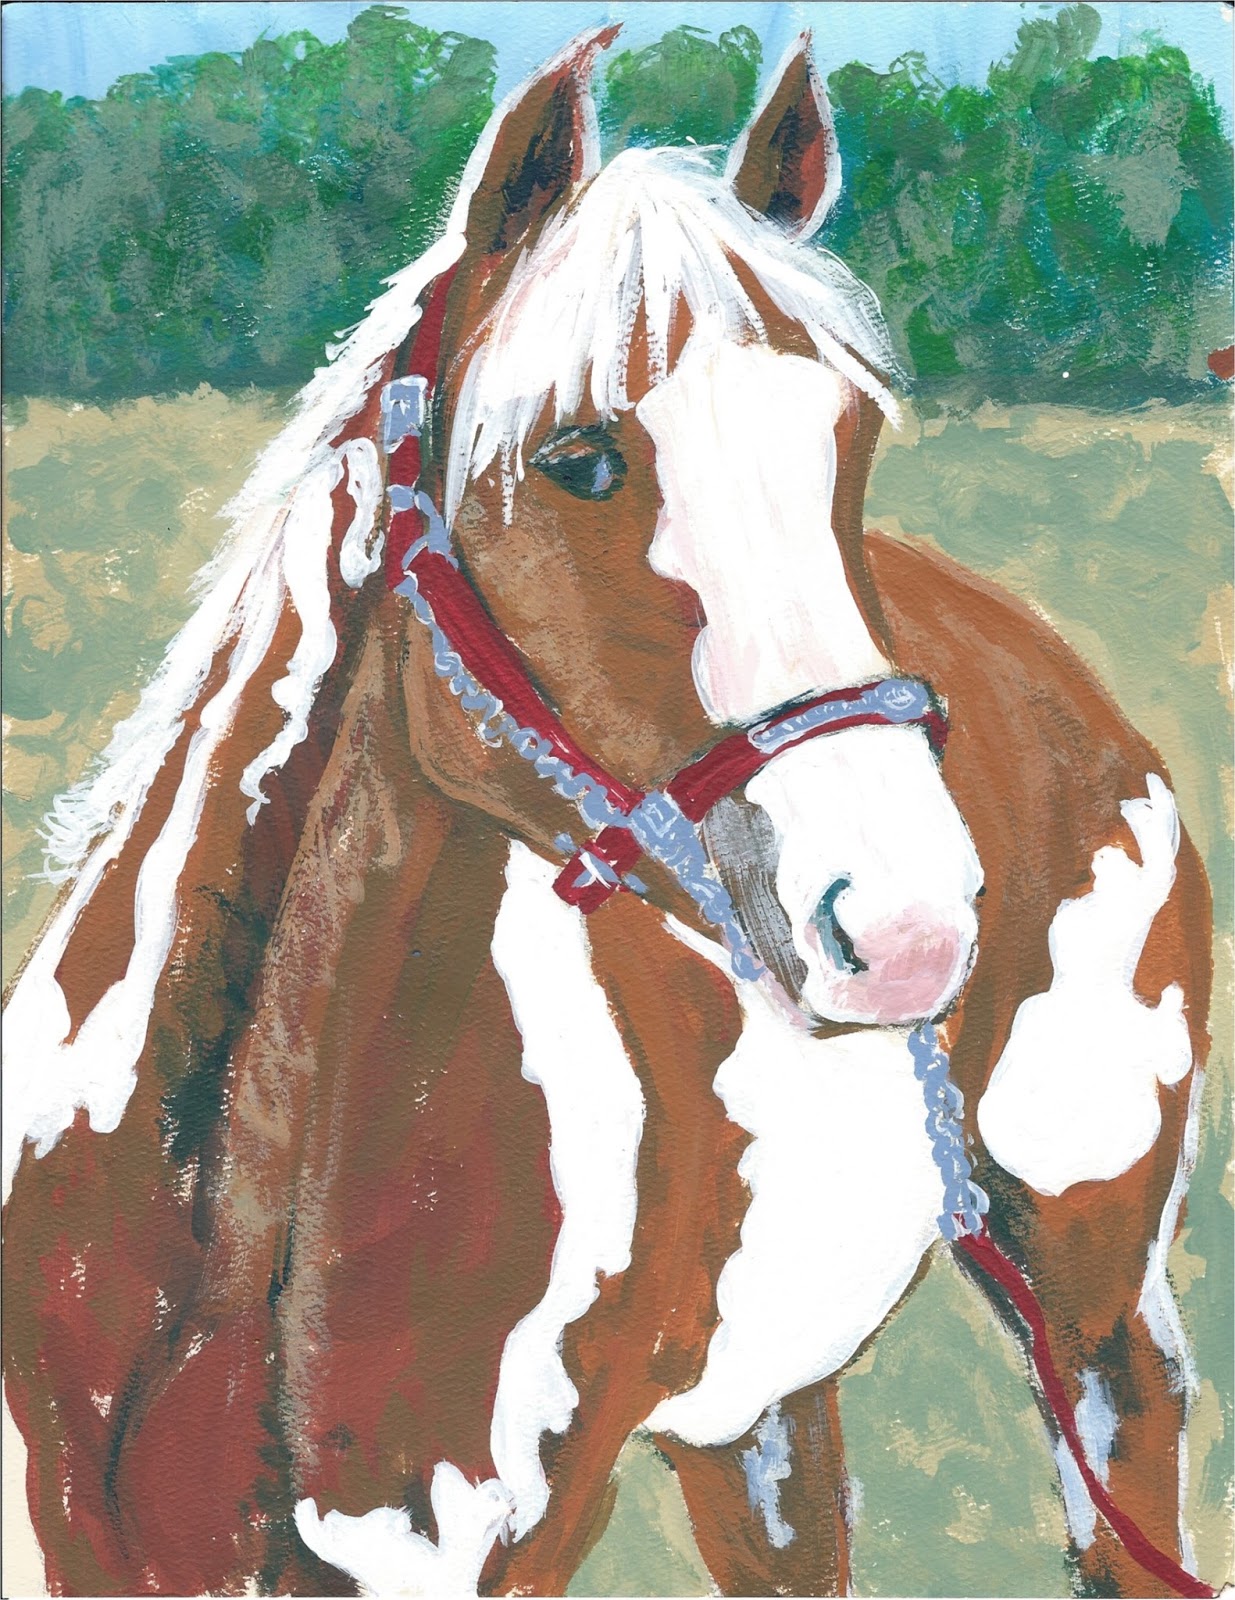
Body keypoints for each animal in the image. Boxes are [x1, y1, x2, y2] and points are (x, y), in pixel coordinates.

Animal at [2, 28, 1215, 1599]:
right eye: (576, 456)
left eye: (848, 436)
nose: (906, 926)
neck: (217, 1245)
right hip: (757, 1415)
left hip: (1094, 1309)